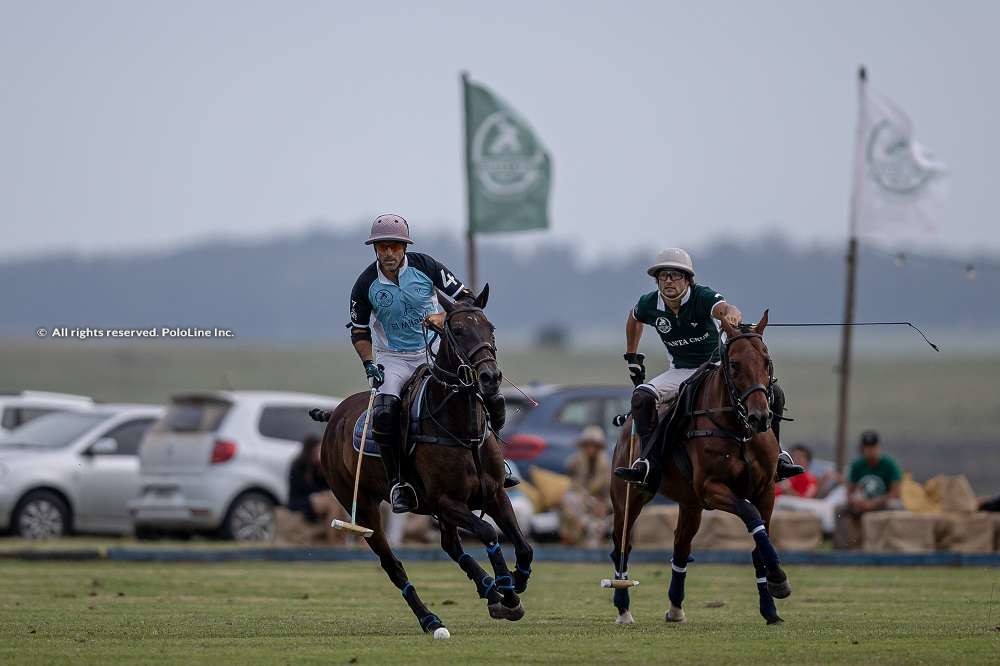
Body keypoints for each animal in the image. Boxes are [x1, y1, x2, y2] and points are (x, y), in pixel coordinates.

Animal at [324, 282, 536, 636]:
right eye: (458, 330)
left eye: (490, 327)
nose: (490, 377)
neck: (463, 428)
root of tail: (334, 415)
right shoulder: (445, 500)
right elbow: (489, 533)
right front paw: (507, 590)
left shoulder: (493, 493)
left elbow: (523, 545)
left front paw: (515, 583)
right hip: (364, 507)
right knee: (393, 565)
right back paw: (432, 619)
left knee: (450, 545)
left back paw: (488, 589)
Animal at [604, 310, 792, 624]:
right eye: (734, 364)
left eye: (767, 361)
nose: (759, 417)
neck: (738, 429)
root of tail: (627, 422)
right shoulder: (711, 488)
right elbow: (749, 514)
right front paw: (779, 578)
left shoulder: (765, 489)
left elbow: (760, 543)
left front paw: (771, 605)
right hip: (627, 496)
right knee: (622, 545)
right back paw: (623, 607)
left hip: (690, 504)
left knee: (680, 548)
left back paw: (675, 608)